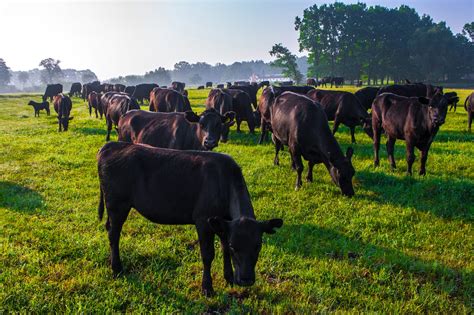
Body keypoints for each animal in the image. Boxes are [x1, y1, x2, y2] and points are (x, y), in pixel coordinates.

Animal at [96, 142, 282, 298]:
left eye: (258, 246)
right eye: (234, 247)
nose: (246, 280)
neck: (225, 181)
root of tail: (111, 145)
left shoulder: (223, 223)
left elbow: (223, 249)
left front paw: (228, 277)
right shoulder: (203, 220)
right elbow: (208, 255)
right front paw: (207, 288)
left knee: (109, 228)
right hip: (117, 205)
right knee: (114, 234)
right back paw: (117, 268)